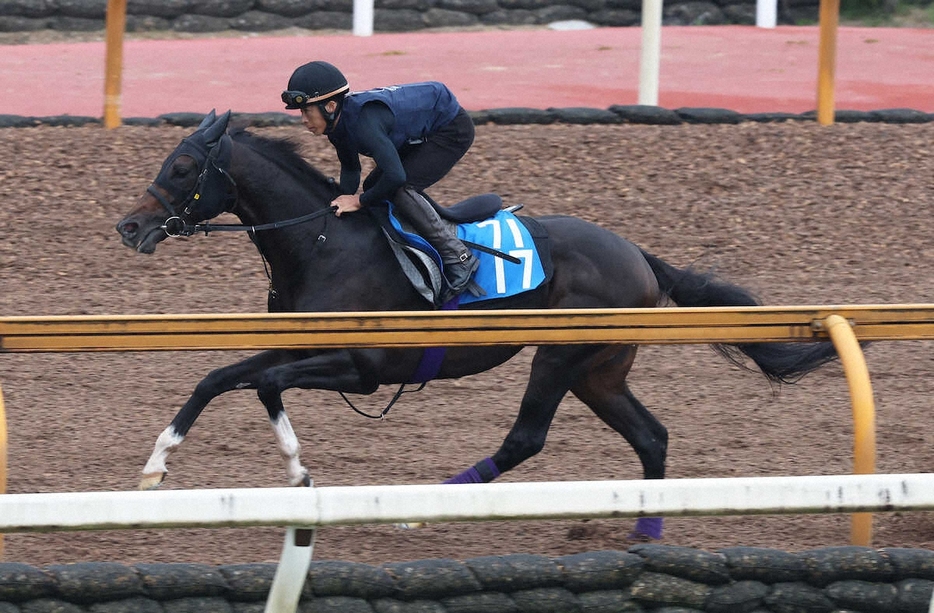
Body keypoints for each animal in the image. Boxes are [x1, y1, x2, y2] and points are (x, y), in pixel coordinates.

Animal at [115, 111, 840, 540]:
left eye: (183, 166)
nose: (129, 225)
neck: (322, 242)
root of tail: (636, 252)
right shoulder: (294, 346)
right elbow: (218, 378)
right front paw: (154, 469)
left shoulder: (361, 368)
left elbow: (264, 387)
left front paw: (298, 476)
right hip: (600, 370)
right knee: (652, 435)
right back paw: (645, 531)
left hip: (559, 357)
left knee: (527, 438)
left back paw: (429, 504)